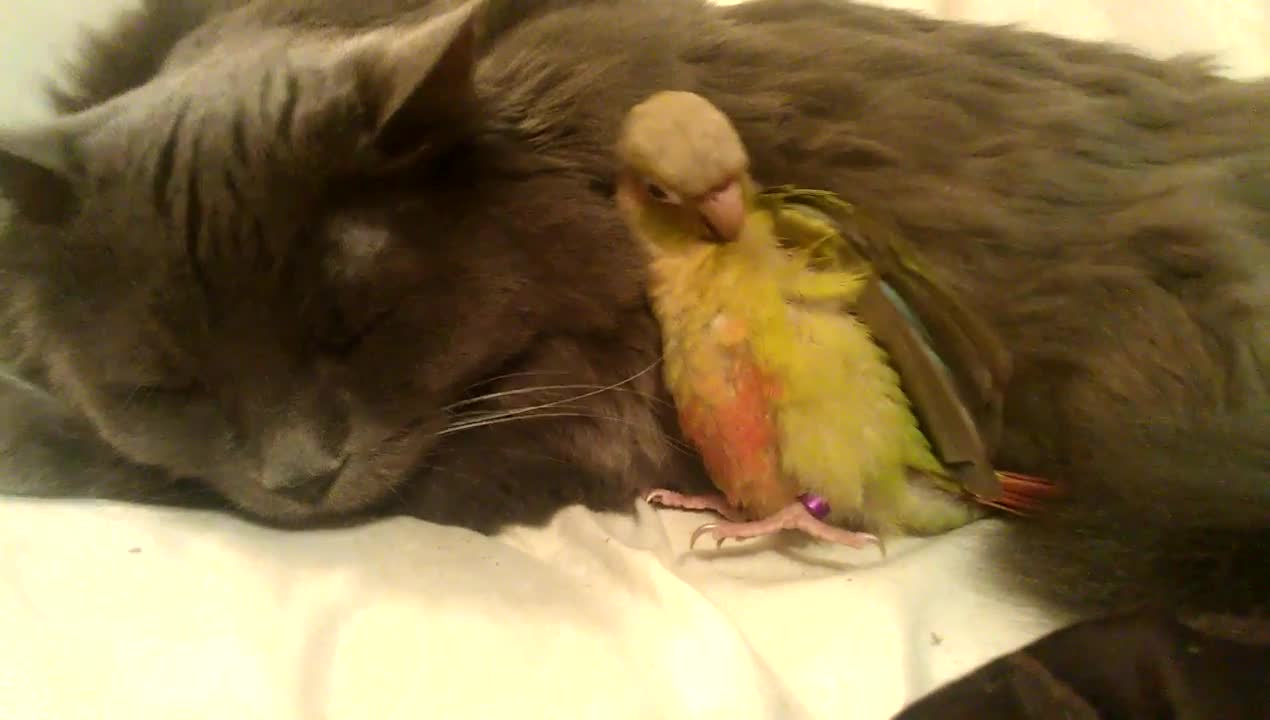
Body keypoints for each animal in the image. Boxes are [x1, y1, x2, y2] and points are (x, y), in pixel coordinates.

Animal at [0, 0, 1264, 619]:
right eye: (166, 383)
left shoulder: (589, 412)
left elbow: (159, 472)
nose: (303, 473)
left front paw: (24, 430)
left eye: (359, 328)